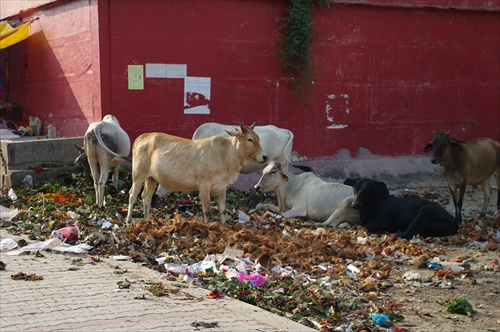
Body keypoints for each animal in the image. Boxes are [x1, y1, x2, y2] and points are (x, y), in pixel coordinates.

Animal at [125, 123, 268, 224]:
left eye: (258, 138)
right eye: (249, 139)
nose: (265, 156)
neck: (225, 154)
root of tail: (144, 136)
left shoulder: (222, 187)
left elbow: (222, 209)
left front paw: (223, 226)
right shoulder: (204, 185)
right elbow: (207, 210)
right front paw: (207, 226)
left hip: (151, 178)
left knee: (146, 197)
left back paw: (147, 220)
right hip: (138, 175)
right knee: (133, 195)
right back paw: (128, 220)